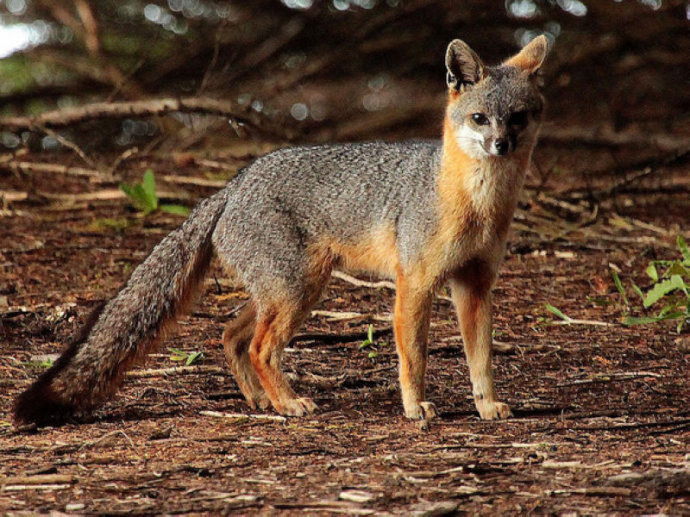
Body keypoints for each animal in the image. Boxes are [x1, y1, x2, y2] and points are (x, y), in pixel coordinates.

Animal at [14, 34, 548, 426]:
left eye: (518, 118)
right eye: (479, 118)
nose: (500, 144)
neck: (477, 205)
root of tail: (234, 184)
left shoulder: (475, 286)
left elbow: (481, 359)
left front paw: (486, 405)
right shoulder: (413, 285)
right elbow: (413, 358)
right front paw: (415, 408)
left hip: (285, 290)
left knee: (231, 335)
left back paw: (263, 401)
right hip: (298, 290)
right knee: (258, 346)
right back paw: (288, 403)